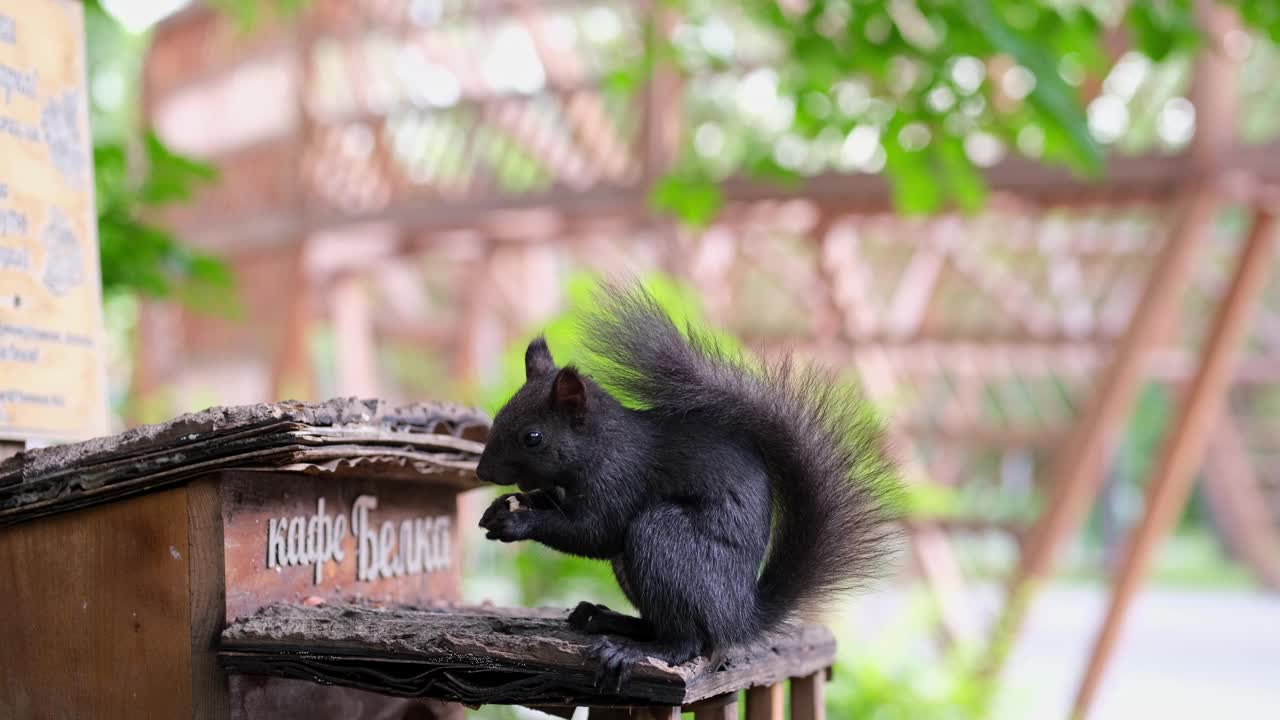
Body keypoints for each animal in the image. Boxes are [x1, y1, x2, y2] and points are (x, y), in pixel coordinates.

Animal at [476, 283, 906, 686]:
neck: (600, 444)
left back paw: (630, 650)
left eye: (533, 437)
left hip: (665, 539)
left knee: (687, 642)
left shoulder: (620, 479)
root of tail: (738, 616)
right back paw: (606, 619)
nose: (482, 472)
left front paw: (517, 522)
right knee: (665, 625)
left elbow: (593, 532)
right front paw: (505, 506)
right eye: (500, 413)